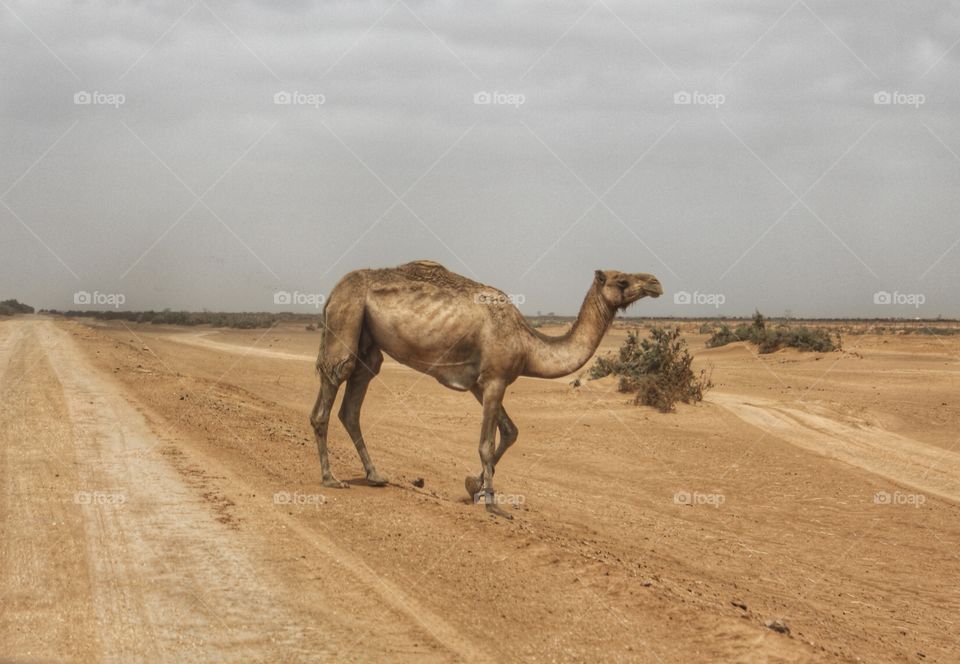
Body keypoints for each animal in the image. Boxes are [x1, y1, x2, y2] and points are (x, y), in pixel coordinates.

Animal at [312, 260, 664, 520]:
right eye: (621, 281)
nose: (655, 282)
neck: (529, 346)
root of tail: (332, 291)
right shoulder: (495, 379)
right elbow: (486, 442)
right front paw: (493, 503)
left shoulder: (481, 384)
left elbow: (510, 432)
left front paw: (473, 485)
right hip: (347, 316)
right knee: (332, 385)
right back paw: (331, 478)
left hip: (368, 342)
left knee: (352, 403)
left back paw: (375, 475)